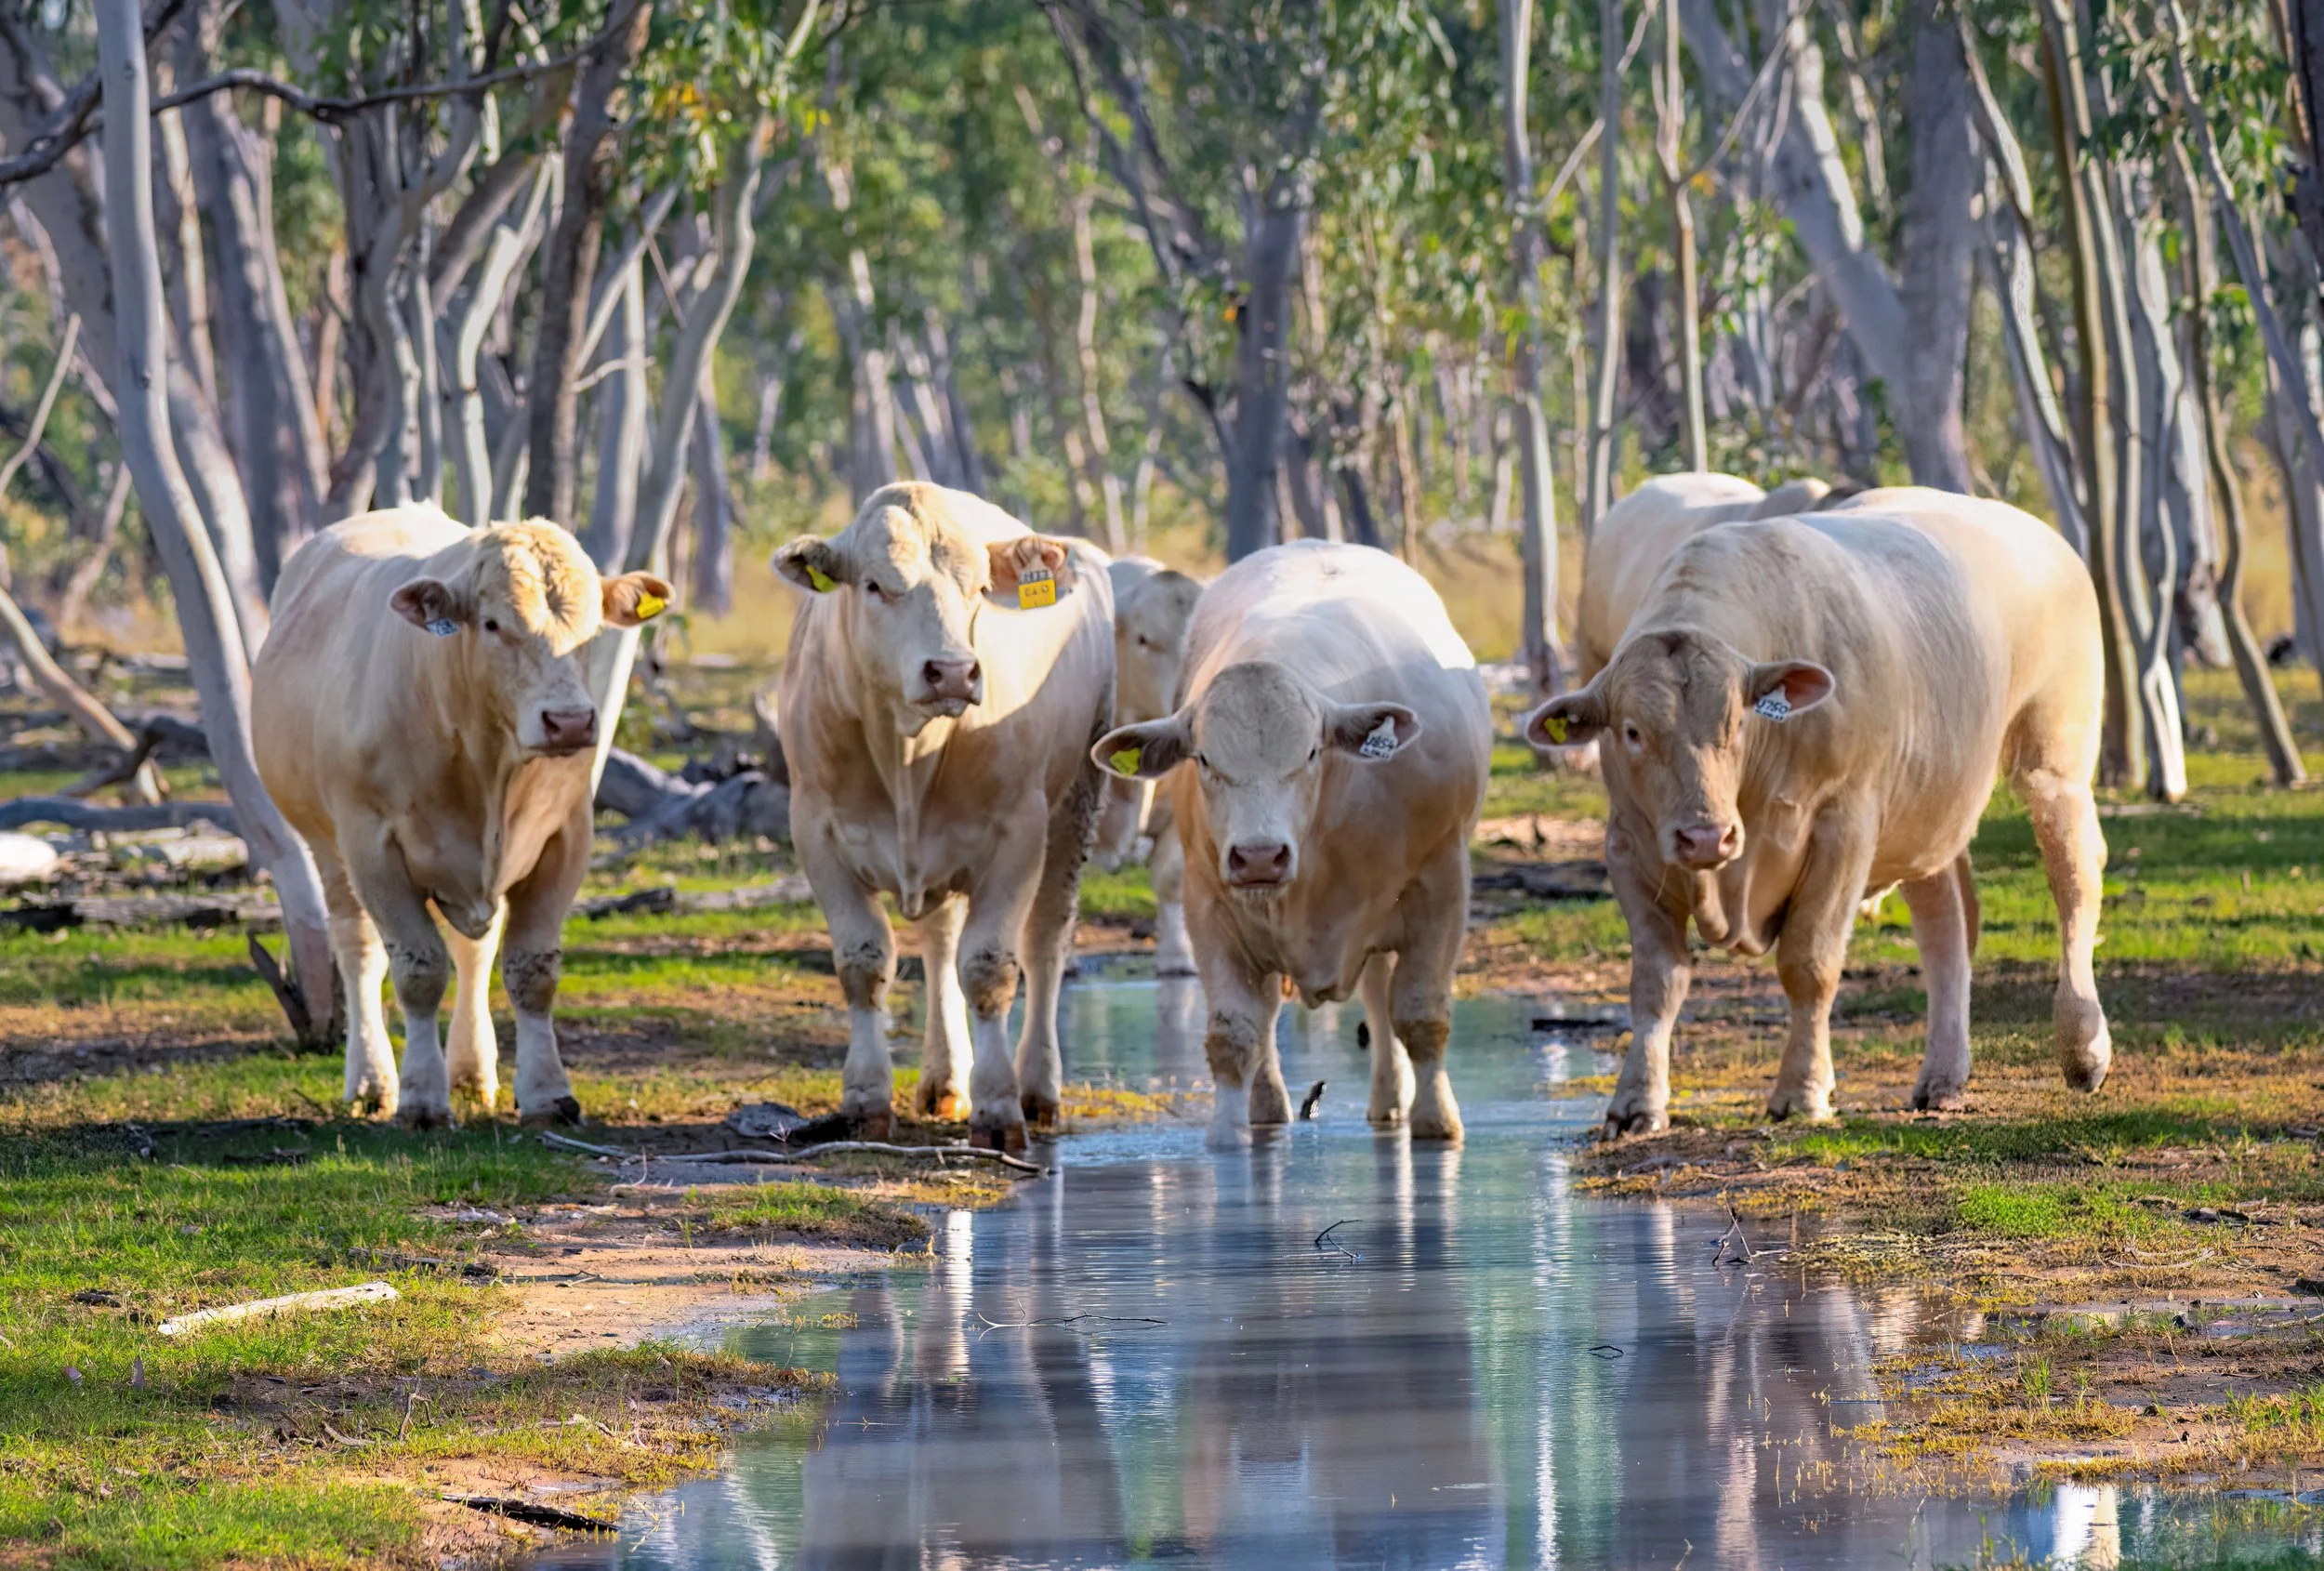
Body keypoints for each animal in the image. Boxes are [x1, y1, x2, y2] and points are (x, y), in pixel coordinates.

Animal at [252, 509, 670, 1125]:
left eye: (594, 627)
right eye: (493, 624)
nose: (569, 721)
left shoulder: (565, 838)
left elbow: (531, 970)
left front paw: (547, 1092)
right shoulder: (372, 845)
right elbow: (418, 969)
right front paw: (422, 1098)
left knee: (474, 952)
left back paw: (472, 1073)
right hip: (327, 848)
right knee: (358, 950)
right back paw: (372, 1080)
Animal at [774, 483, 1114, 1151]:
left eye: (980, 588)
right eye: (875, 585)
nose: (954, 671)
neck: (908, 752)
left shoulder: (1018, 832)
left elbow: (989, 969)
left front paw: (999, 1107)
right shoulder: (814, 829)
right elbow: (863, 961)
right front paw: (865, 1097)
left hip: (1075, 803)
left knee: (1045, 944)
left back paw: (1038, 1088)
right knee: (938, 943)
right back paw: (944, 1079)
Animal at [1524, 488, 2109, 1132]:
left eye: (1737, 723)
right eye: (1631, 732)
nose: (1706, 838)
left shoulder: (1843, 824)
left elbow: (1810, 962)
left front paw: (1804, 1090)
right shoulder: (1628, 842)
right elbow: (1658, 978)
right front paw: (1637, 1100)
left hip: (2055, 756)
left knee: (2074, 877)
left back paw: (2084, 1048)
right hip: (1927, 801)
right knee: (1946, 924)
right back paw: (1944, 1073)